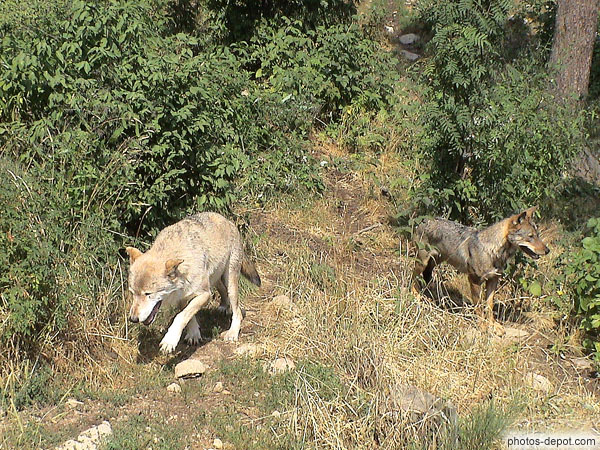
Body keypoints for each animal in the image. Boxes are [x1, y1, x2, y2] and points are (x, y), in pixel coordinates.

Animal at [125, 212, 261, 354]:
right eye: (132, 293)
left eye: (148, 294)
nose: (133, 319)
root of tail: (227, 220)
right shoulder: (182, 297)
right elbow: (189, 315)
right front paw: (194, 334)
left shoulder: (205, 294)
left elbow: (181, 316)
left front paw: (170, 340)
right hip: (215, 279)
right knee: (223, 291)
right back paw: (224, 306)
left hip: (230, 281)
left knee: (237, 311)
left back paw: (232, 332)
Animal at [412, 207, 549, 332]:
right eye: (530, 236)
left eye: (538, 235)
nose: (548, 250)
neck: (492, 251)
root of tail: (424, 220)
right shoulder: (474, 281)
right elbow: (478, 307)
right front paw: (483, 327)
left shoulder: (493, 281)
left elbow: (489, 306)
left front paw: (494, 326)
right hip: (421, 263)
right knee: (413, 279)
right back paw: (416, 298)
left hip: (433, 264)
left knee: (426, 279)